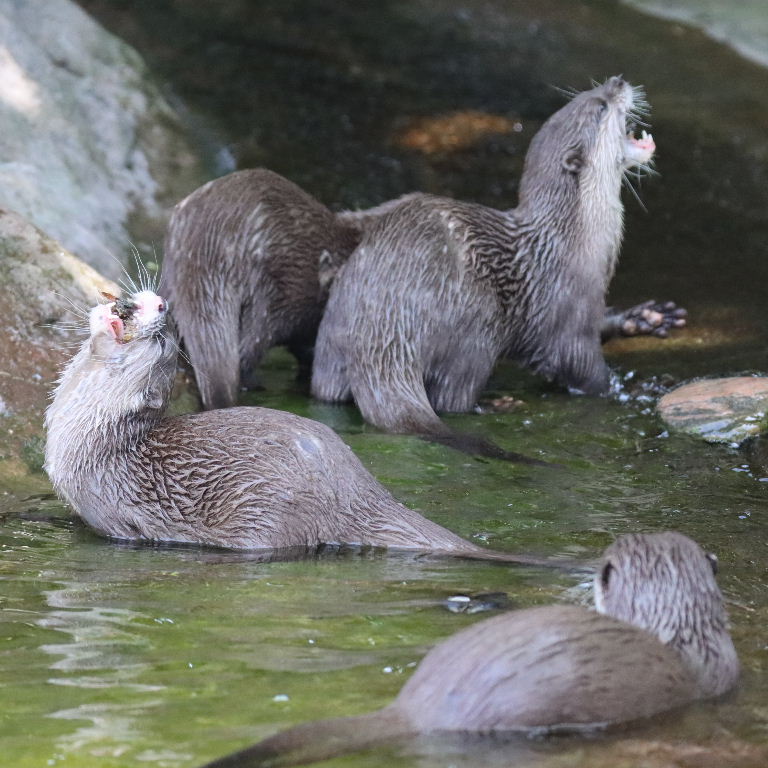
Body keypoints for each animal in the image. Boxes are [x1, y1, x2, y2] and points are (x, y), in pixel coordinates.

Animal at [44, 288, 555, 561]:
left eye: (161, 341)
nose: (161, 306)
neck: (90, 439)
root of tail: (358, 491)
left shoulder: (112, 509)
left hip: (270, 513)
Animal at [311, 77, 686, 438]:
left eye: (593, 93)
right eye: (600, 108)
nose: (618, 81)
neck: (574, 239)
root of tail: (384, 332)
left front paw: (646, 317)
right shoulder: (564, 310)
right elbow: (581, 368)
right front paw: (633, 391)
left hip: (333, 338)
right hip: (477, 324)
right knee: (451, 397)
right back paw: (494, 404)